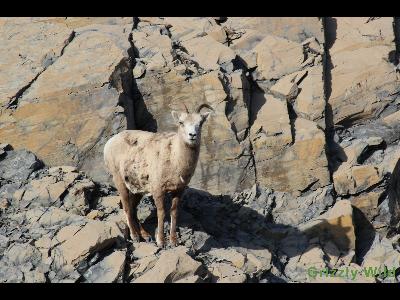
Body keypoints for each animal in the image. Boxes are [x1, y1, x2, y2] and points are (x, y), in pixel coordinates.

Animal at [104, 103, 214, 246]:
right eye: (181, 122)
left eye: (200, 123)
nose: (192, 135)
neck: (175, 158)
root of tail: (109, 143)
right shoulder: (158, 190)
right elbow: (161, 213)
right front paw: (161, 241)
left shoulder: (178, 190)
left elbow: (174, 212)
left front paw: (173, 241)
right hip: (119, 181)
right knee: (127, 207)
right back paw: (135, 236)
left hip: (138, 190)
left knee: (133, 208)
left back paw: (145, 235)